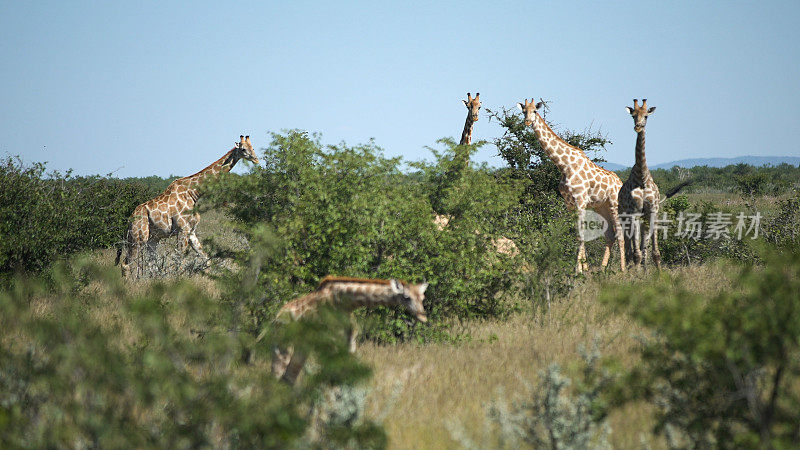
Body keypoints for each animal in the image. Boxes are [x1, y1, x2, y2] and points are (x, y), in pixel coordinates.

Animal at [115, 135, 258, 278]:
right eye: (244, 149)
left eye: (253, 147)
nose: (256, 159)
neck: (193, 192)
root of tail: (129, 220)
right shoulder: (182, 230)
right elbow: (179, 262)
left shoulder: (191, 231)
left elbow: (206, 259)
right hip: (138, 238)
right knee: (126, 264)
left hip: (152, 239)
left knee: (151, 266)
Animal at [272, 276, 428, 384]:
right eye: (407, 297)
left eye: (422, 297)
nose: (423, 317)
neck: (345, 303)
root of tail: (277, 317)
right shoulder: (330, 342)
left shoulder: (350, 341)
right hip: (284, 344)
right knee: (277, 375)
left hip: (303, 346)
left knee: (288, 378)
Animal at [516, 98, 628, 272]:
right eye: (523, 112)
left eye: (535, 111)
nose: (527, 121)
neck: (564, 165)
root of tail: (620, 182)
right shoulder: (569, 203)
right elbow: (576, 233)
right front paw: (584, 267)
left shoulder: (580, 201)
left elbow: (581, 234)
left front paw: (578, 269)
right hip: (601, 206)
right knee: (610, 234)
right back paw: (602, 268)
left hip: (614, 204)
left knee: (620, 233)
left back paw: (623, 269)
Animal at [620, 98, 664, 268]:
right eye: (633, 116)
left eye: (646, 116)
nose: (638, 127)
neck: (642, 178)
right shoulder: (634, 213)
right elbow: (636, 253)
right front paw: (635, 274)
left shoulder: (652, 211)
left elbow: (655, 253)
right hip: (623, 217)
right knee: (628, 249)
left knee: (642, 247)